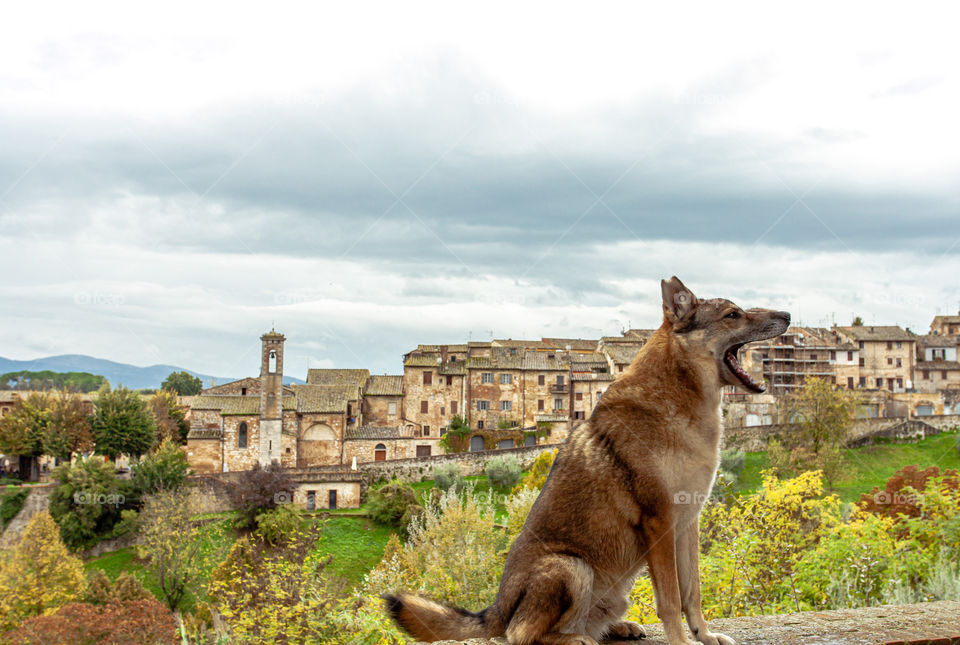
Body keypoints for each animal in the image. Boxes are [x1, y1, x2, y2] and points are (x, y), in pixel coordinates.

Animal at [386, 276, 792, 644]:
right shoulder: (659, 523)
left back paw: (616, 628)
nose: (787, 314)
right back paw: (573, 638)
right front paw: (681, 641)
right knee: (521, 635)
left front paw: (704, 636)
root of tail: (499, 609)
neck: (681, 399)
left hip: (611, 591)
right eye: (733, 314)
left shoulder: (686, 523)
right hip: (572, 568)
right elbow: (670, 600)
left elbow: (692, 594)